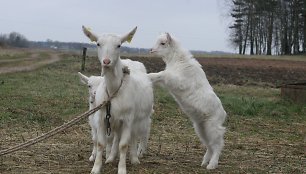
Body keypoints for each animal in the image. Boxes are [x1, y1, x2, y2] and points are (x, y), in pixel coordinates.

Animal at [82, 26, 154, 174]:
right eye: (98, 44)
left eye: (119, 45)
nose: (106, 61)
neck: (114, 90)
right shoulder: (103, 118)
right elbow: (101, 143)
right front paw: (96, 168)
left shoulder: (127, 119)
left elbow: (124, 145)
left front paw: (122, 169)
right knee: (116, 137)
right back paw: (111, 158)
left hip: (139, 119)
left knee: (134, 136)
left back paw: (134, 158)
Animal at [148, 33, 227, 170]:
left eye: (163, 43)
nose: (151, 50)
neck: (178, 60)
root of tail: (223, 113)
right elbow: (160, 77)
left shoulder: (179, 81)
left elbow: (163, 74)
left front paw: (147, 76)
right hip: (201, 128)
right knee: (209, 145)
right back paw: (204, 162)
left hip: (212, 126)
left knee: (217, 144)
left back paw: (212, 164)